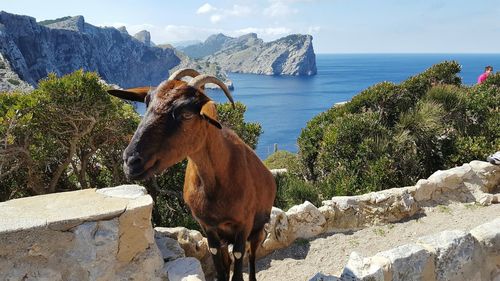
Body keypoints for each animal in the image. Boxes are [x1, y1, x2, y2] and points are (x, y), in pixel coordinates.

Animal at [108, 68, 278, 280]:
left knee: (252, 254)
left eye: (187, 114)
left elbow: (239, 262)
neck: (216, 184)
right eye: (147, 103)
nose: (131, 162)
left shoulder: (243, 224)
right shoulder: (208, 227)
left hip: (258, 227)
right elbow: (220, 265)